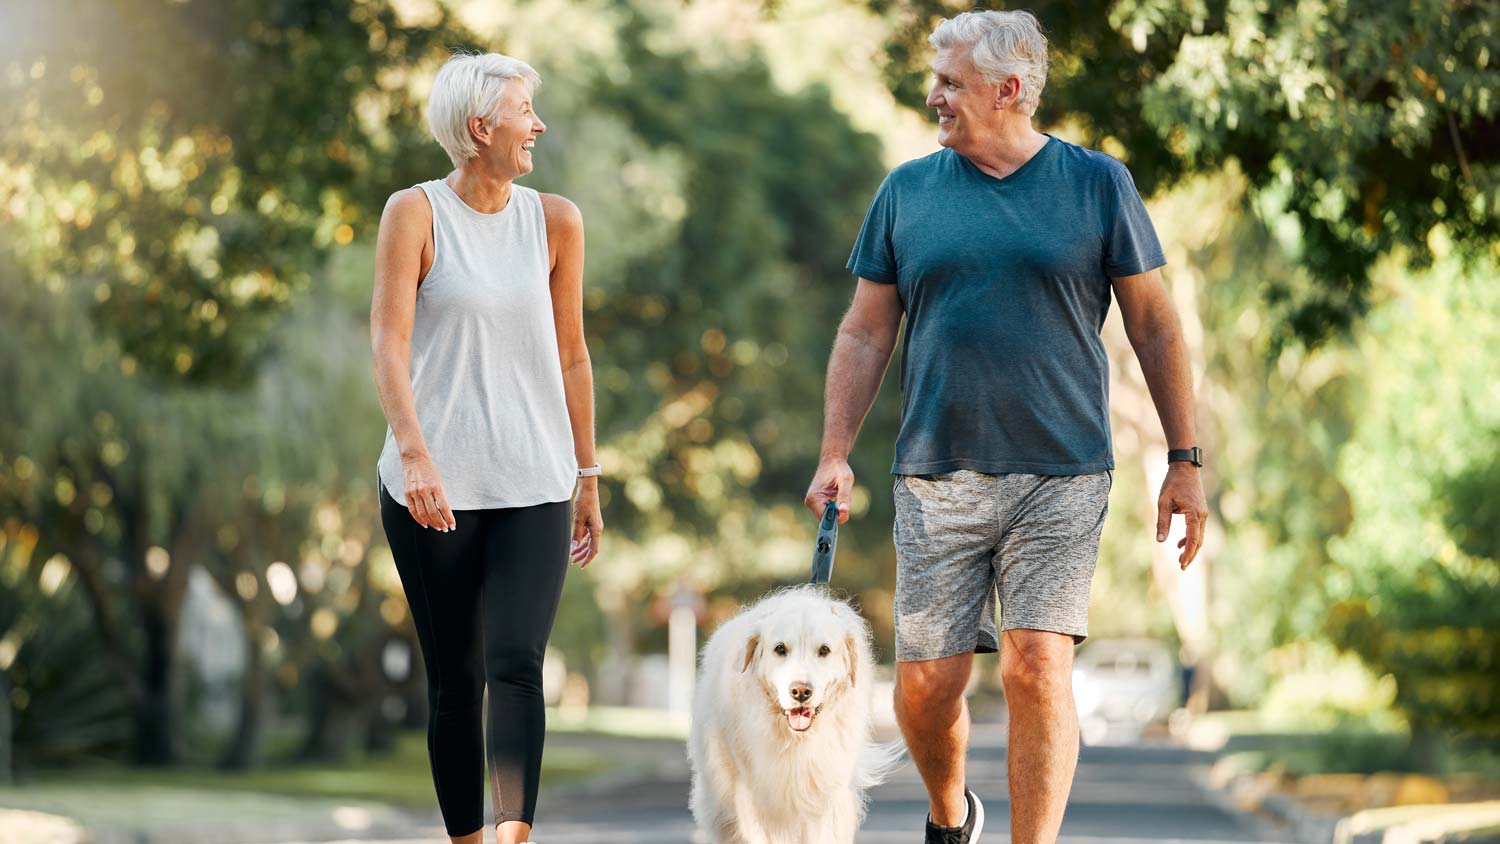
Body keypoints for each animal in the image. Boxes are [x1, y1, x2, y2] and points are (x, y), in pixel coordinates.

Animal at [690, 587, 900, 844]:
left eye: (824, 650)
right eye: (780, 649)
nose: (800, 691)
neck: (795, 741)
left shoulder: (825, 798)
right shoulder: (755, 799)